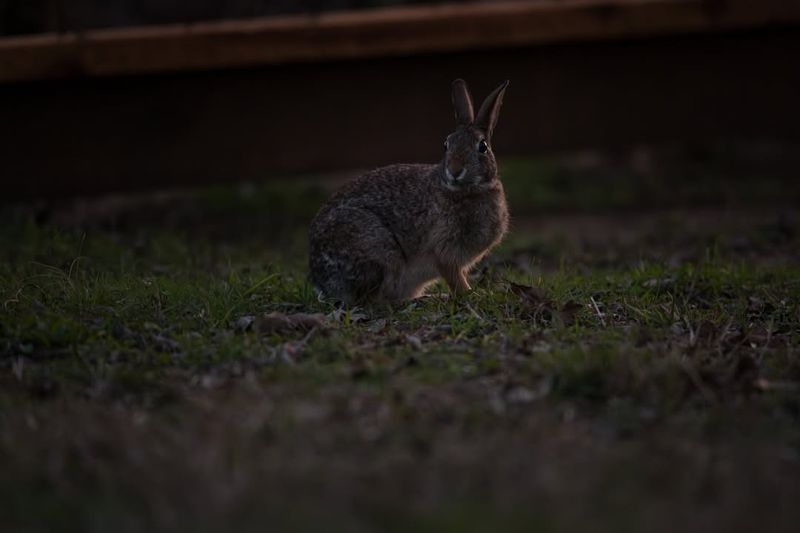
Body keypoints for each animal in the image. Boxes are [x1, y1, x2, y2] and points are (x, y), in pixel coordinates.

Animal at [310, 78, 510, 304]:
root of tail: (321, 281)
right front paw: (472, 294)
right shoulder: (442, 249)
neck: (467, 190)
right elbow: (453, 276)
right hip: (378, 251)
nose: (455, 170)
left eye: (482, 146)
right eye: (446, 144)